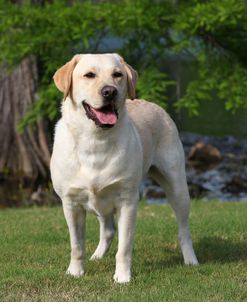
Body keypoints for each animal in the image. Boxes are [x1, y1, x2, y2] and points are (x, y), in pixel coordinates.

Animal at [50, 53, 199, 284]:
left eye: (117, 74)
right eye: (89, 75)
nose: (110, 91)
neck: (95, 141)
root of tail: (154, 104)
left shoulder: (127, 201)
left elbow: (125, 247)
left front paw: (122, 277)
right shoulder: (71, 203)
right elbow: (76, 245)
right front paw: (75, 271)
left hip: (177, 187)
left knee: (184, 230)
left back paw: (191, 260)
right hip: (99, 201)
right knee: (108, 230)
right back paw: (97, 256)